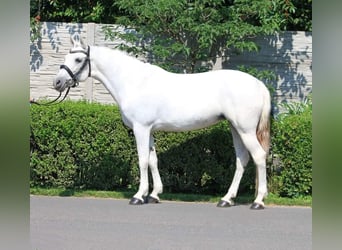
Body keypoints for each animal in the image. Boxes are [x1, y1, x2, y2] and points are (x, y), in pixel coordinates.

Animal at [52, 35, 270, 209]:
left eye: (78, 59)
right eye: (65, 58)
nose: (57, 83)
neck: (134, 82)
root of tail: (259, 85)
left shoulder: (140, 128)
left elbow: (142, 160)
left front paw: (138, 196)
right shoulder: (149, 130)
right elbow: (153, 160)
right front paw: (154, 195)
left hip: (245, 130)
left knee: (259, 156)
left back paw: (258, 201)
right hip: (236, 128)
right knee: (242, 159)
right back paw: (226, 199)